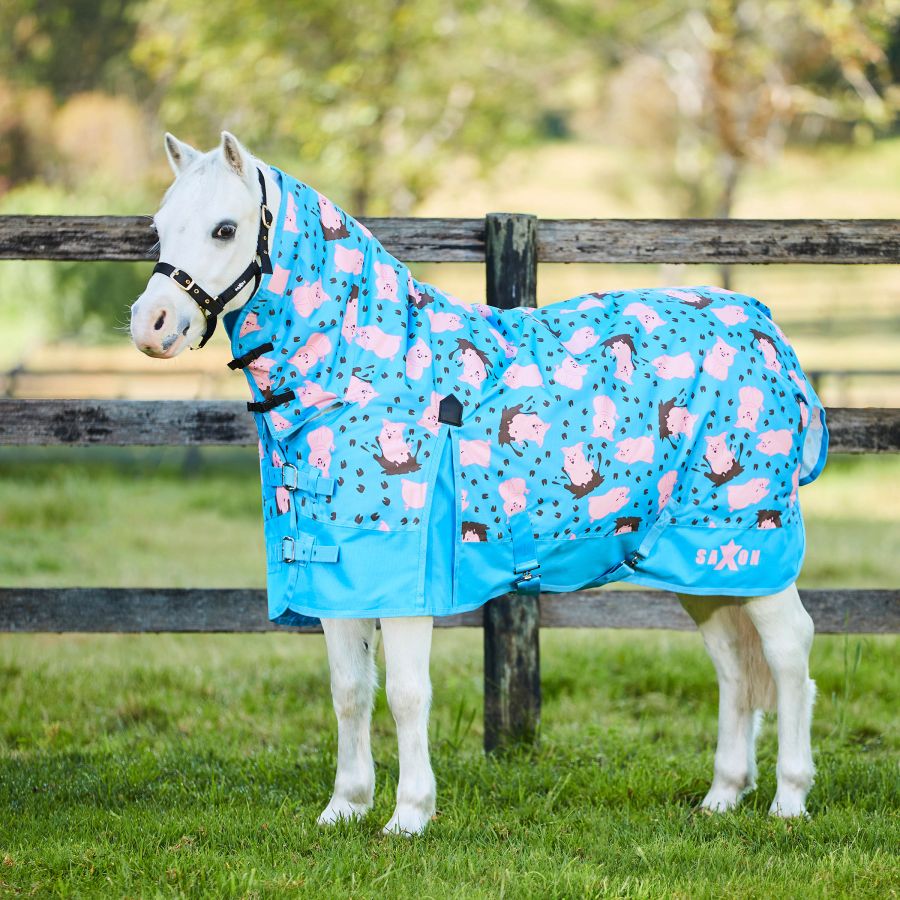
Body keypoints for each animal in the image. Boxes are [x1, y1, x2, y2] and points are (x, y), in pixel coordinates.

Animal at [130, 131, 825, 834]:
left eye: (225, 229)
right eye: (158, 227)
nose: (150, 324)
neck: (365, 372)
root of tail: (766, 329)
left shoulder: (406, 581)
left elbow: (407, 695)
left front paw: (409, 815)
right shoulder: (341, 574)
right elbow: (350, 692)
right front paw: (345, 807)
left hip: (748, 546)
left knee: (789, 653)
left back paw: (789, 799)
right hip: (701, 562)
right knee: (735, 666)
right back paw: (723, 795)